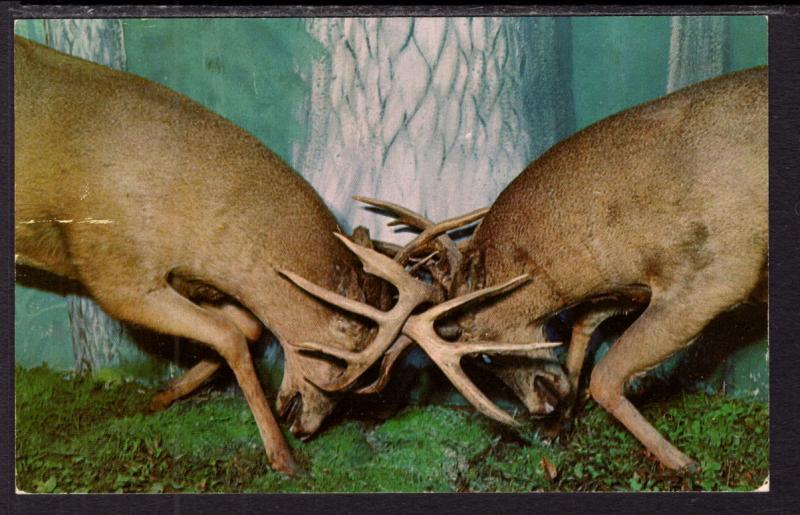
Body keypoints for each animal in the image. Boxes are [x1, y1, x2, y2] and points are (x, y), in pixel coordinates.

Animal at [14, 36, 450, 478]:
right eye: (346, 367)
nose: (307, 428)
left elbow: (249, 328)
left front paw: (162, 395)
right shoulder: (119, 277)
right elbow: (232, 337)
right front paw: (283, 457)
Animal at [288, 66, 768, 474]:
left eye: (477, 350)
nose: (540, 406)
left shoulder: (719, 273)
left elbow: (605, 377)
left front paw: (683, 462)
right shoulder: (628, 288)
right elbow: (583, 328)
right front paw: (560, 427)